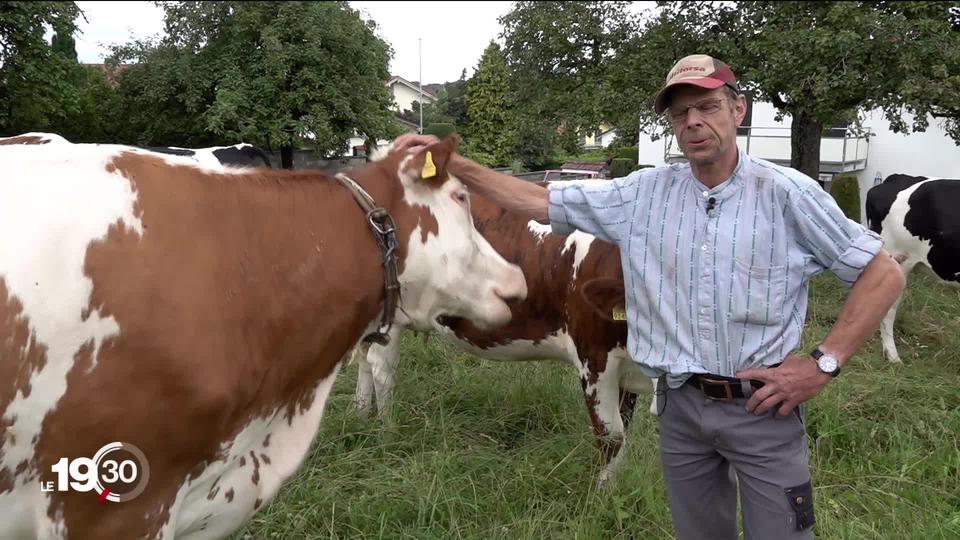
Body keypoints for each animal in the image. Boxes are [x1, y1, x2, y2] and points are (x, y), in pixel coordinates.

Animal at [354, 184, 660, 488]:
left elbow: (624, 427)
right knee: (381, 368)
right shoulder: (593, 359)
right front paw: (601, 495)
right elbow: (612, 436)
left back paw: (359, 416)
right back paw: (388, 434)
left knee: (364, 359)